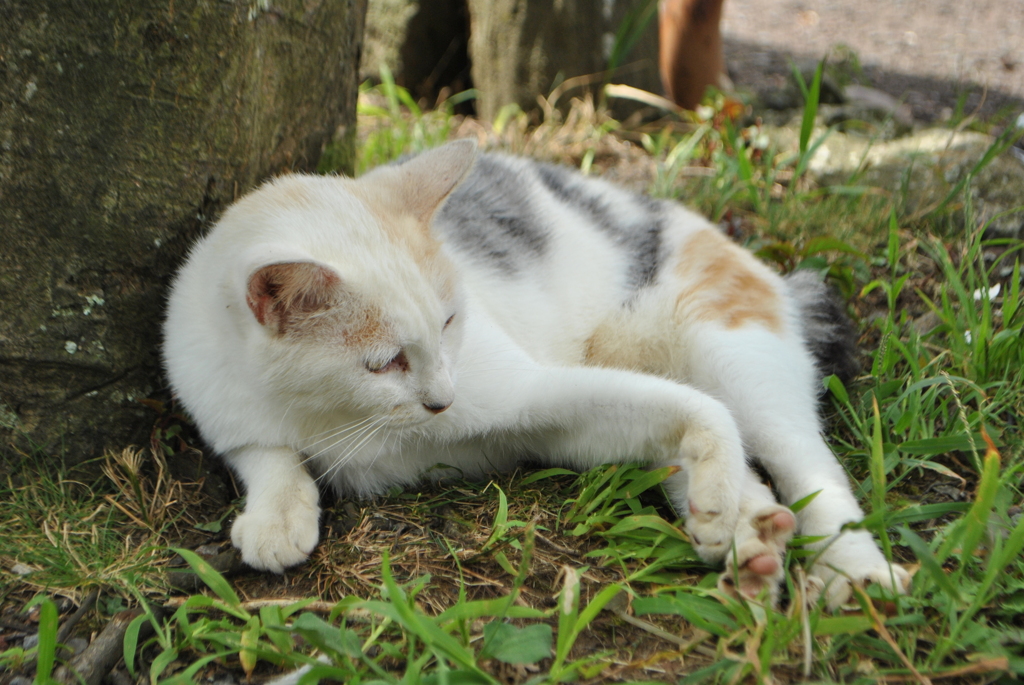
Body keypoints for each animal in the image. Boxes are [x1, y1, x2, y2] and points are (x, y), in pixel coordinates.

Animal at [165, 137, 913, 602]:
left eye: (450, 321)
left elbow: (707, 413)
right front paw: (277, 515)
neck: (330, 413)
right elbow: (263, 452)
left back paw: (855, 572)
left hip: (734, 347)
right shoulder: (218, 401)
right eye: (384, 362)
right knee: (693, 462)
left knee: (804, 460)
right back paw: (749, 539)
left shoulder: (523, 393)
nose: (442, 400)